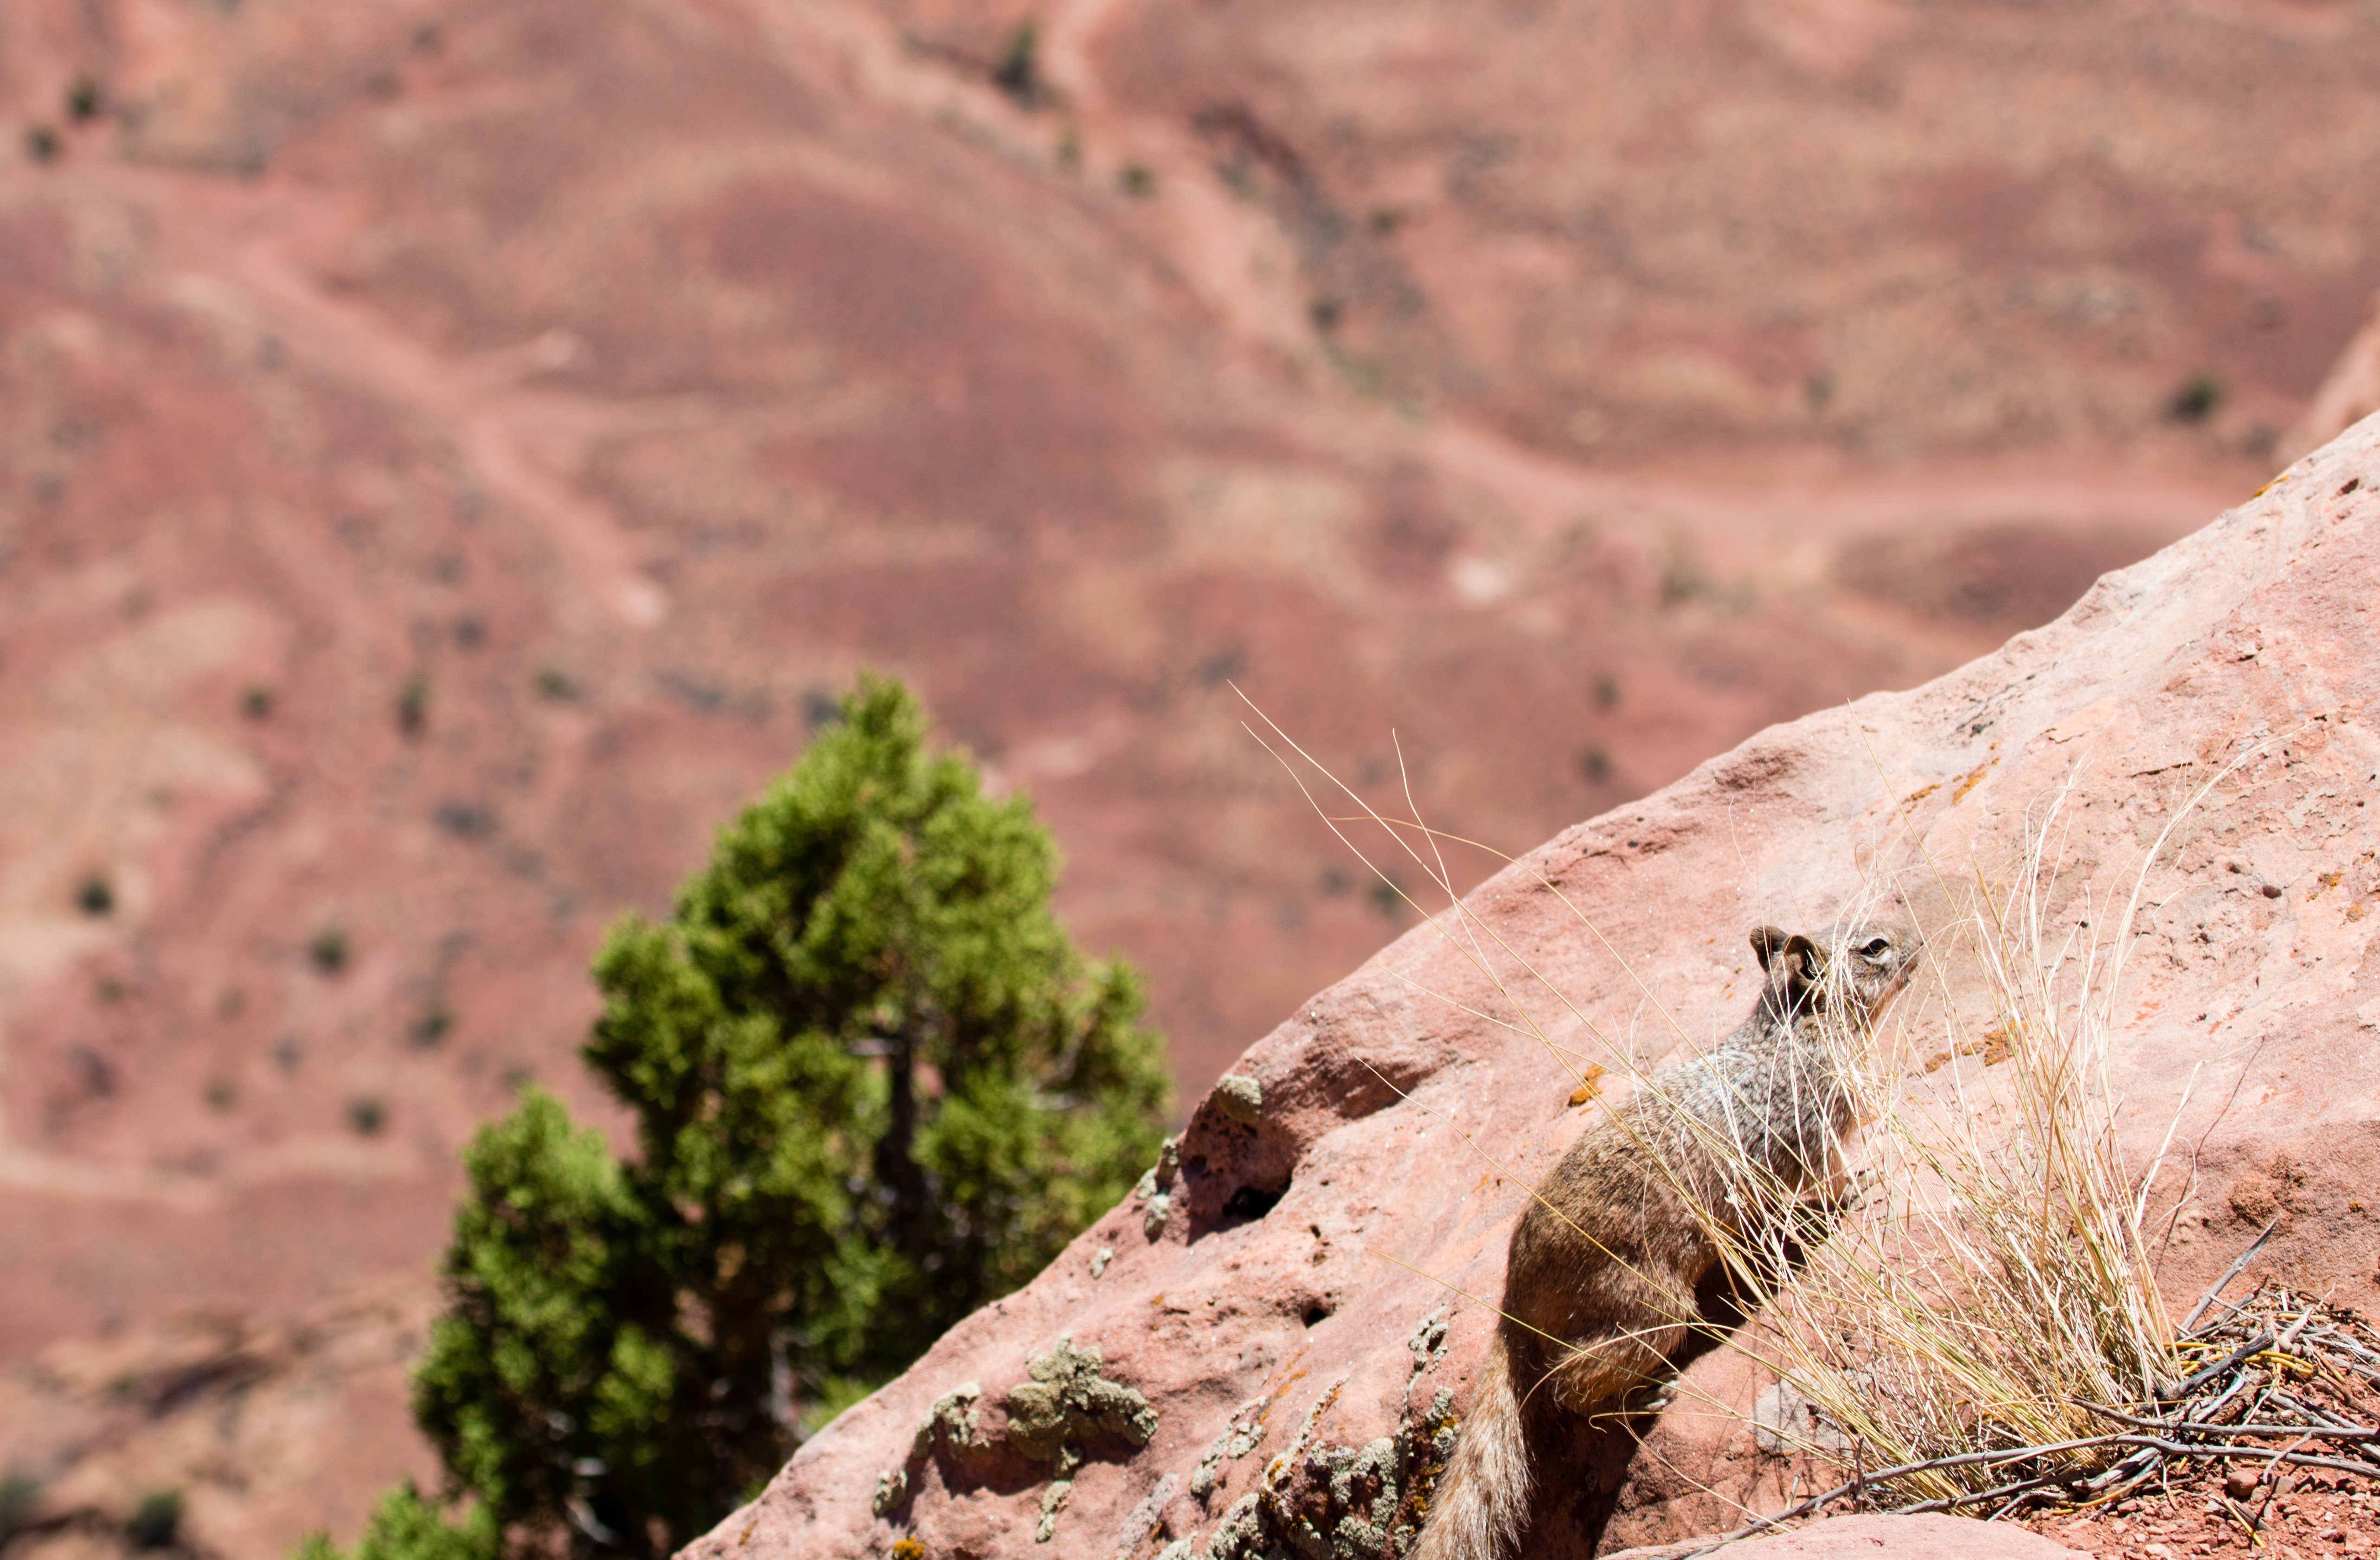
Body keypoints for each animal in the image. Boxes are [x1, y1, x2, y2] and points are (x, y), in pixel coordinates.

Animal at [1409, 919, 1913, 1553]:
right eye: (1874, 947)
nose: (1917, 941)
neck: (1792, 1031)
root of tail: (1512, 1300)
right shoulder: (1818, 1125)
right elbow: (1832, 1173)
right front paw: (1860, 1190)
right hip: (1654, 1307)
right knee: (1566, 1385)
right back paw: (1644, 1396)